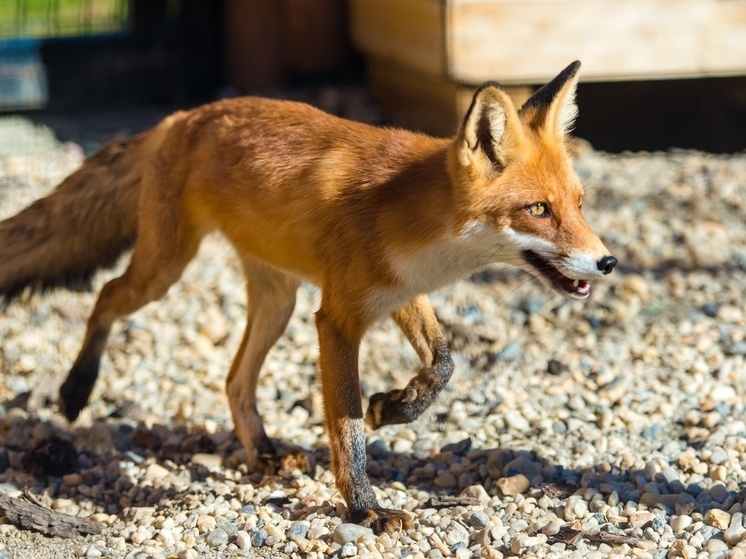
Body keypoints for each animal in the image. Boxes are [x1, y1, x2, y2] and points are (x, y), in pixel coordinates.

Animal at [0, 62, 612, 532]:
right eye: (538, 210)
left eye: (579, 204)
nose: (606, 262)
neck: (410, 218)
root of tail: (182, 117)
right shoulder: (336, 319)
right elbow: (346, 428)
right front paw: (364, 509)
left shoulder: (396, 292)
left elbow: (443, 363)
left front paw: (395, 406)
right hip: (164, 272)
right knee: (106, 294)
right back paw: (76, 389)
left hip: (278, 302)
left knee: (234, 380)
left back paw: (265, 452)